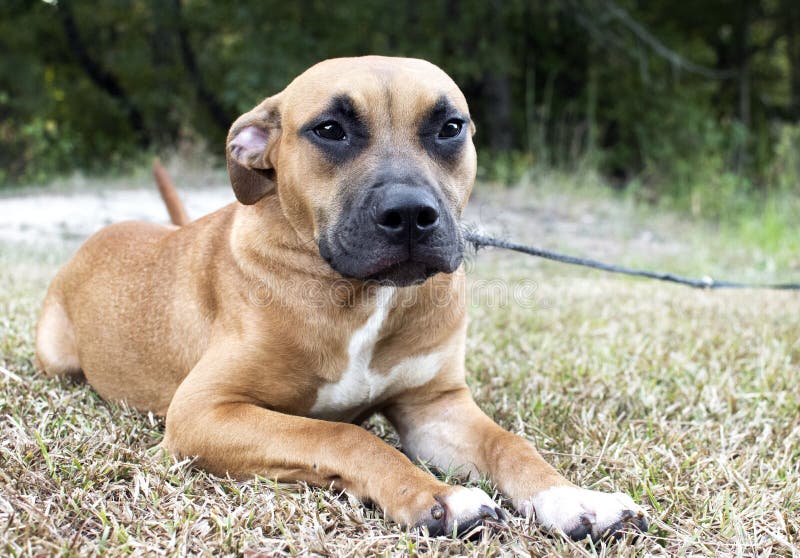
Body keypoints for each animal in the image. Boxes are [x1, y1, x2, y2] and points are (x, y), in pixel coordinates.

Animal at [36, 57, 648, 544]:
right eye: (329, 130)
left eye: (450, 127)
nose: (410, 214)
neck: (363, 296)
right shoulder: (204, 412)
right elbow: (343, 433)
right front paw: (437, 497)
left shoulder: (435, 408)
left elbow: (510, 443)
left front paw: (574, 499)